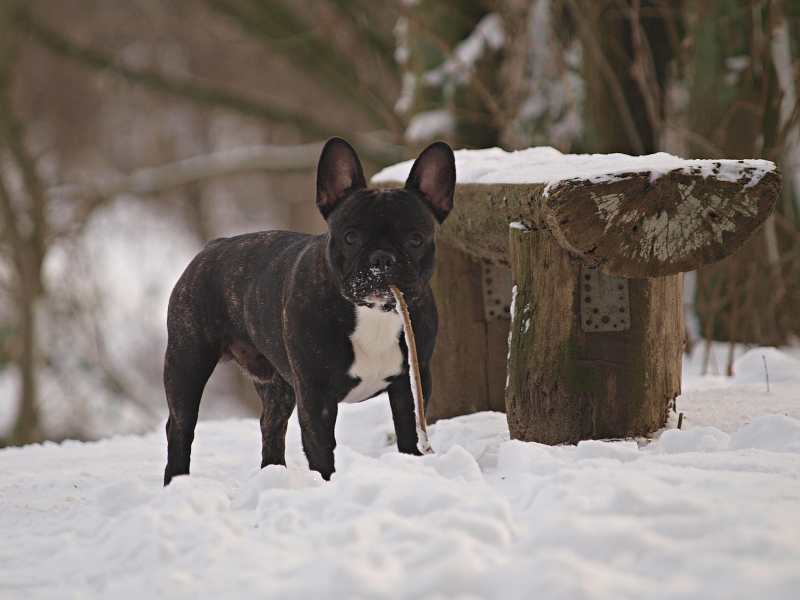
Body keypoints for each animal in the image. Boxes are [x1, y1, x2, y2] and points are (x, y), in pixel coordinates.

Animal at [161, 136, 456, 482]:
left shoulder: (410, 387)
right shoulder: (317, 396)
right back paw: (176, 483)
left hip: (279, 387)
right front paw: (327, 483)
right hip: (187, 363)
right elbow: (321, 448)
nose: (382, 259)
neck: (374, 313)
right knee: (180, 427)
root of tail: (213, 245)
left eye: (415, 240)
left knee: (271, 425)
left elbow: (408, 435)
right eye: (351, 237)